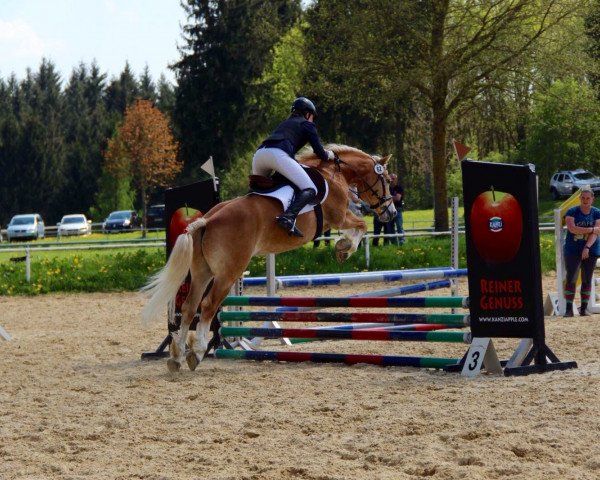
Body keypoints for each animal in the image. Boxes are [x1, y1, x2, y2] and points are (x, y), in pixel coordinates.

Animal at [141, 142, 398, 372]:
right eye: (386, 180)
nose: (391, 213)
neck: (334, 174)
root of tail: (208, 219)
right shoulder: (339, 216)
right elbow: (360, 225)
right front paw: (344, 248)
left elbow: (358, 225)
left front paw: (343, 247)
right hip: (228, 273)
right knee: (208, 305)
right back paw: (197, 352)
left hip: (202, 273)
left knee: (189, 307)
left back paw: (177, 357)